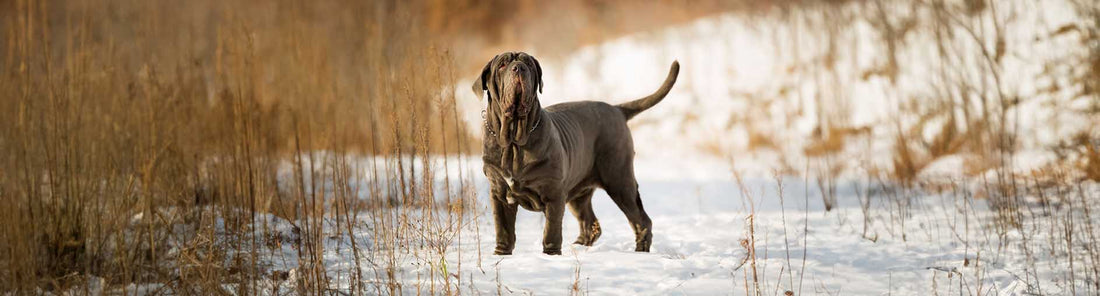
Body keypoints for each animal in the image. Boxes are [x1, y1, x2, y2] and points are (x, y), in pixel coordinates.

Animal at [473, 50, 677, 253]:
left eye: (528, 64)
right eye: (502, 65)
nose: (519, 68)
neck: (514, 142)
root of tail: (617, 109)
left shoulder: (553, 194)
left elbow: (551, 230)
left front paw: (551, 254)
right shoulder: (499, 194)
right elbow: (503, 229)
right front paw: (501, 254)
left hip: (619, 181)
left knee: (641, 220)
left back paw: (640, 251)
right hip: (579, 193)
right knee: (591, 224)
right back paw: (578, 247)